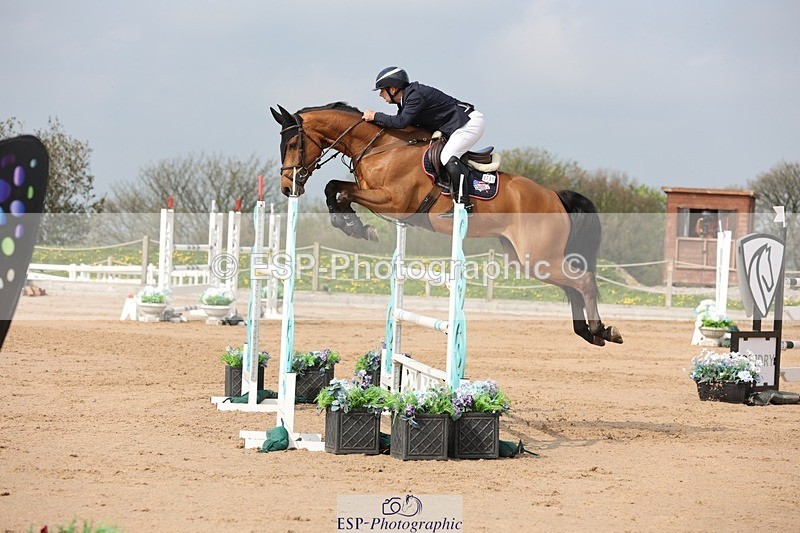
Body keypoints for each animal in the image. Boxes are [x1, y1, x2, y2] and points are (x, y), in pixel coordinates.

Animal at [269, 102, 623, 346]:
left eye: (293, 144)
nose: (288, 187)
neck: (381, 146)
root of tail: (554, 195)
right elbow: (335, 189)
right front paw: (354, 225)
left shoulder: (394, 202)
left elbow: (338, 190)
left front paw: (357, 227)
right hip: (526, 259)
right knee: (572, 284)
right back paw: (590, 332)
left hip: (538, 256)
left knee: (583, 281)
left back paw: (600, 329)